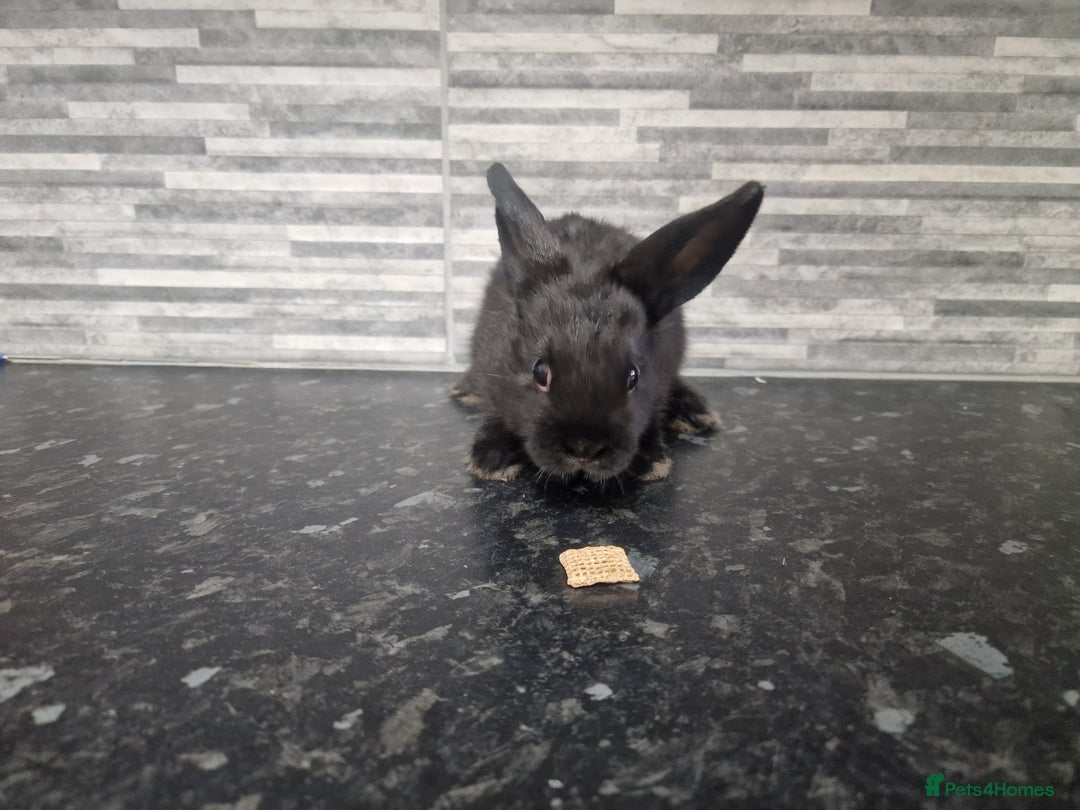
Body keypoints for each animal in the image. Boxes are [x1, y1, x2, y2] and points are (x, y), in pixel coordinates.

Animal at [451, 163, 764, 484]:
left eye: (633, 376)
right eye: (539, 371)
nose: (584, 449)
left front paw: (652, 461)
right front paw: (490, 459)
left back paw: (694, 411)